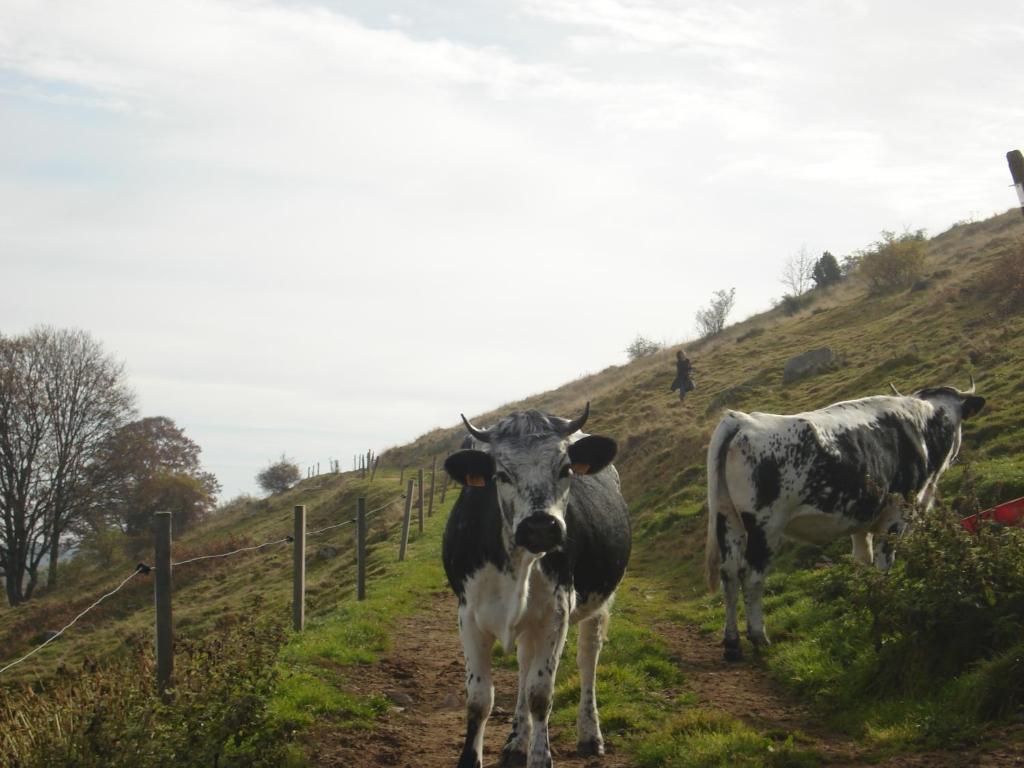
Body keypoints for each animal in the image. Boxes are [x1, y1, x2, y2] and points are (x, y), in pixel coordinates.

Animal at [442, 405, 626, 765]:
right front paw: (472, 757)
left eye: (565, 468)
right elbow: (479, 699)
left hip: (599, 603)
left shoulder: (557, 613)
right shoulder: (468, 614)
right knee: (524, 664)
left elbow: (540, 694)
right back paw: (516, 741)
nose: (540, 526)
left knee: (588, 659)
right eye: (501, 474)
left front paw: (541, 757)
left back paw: (590, 734)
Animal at [704, 382, 983, 663]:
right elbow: (884, 565)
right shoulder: (895, 516)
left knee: (729, 575)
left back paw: (732, 644)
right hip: (765, 526)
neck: (923, 427)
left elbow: (862, 563)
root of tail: (743, 419)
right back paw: (759, 638)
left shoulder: (861, 523)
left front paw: (865, 604)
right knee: (751, 577)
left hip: (728, 519)